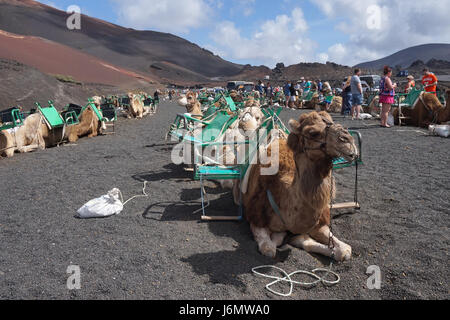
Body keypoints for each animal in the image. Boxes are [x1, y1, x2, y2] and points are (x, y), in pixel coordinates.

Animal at [243, 111, 358, 262]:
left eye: (331, 120)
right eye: (312, 133)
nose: (348, 140)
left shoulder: (319, 222)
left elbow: (345, 250)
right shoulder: (256, 215)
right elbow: (269, 249)